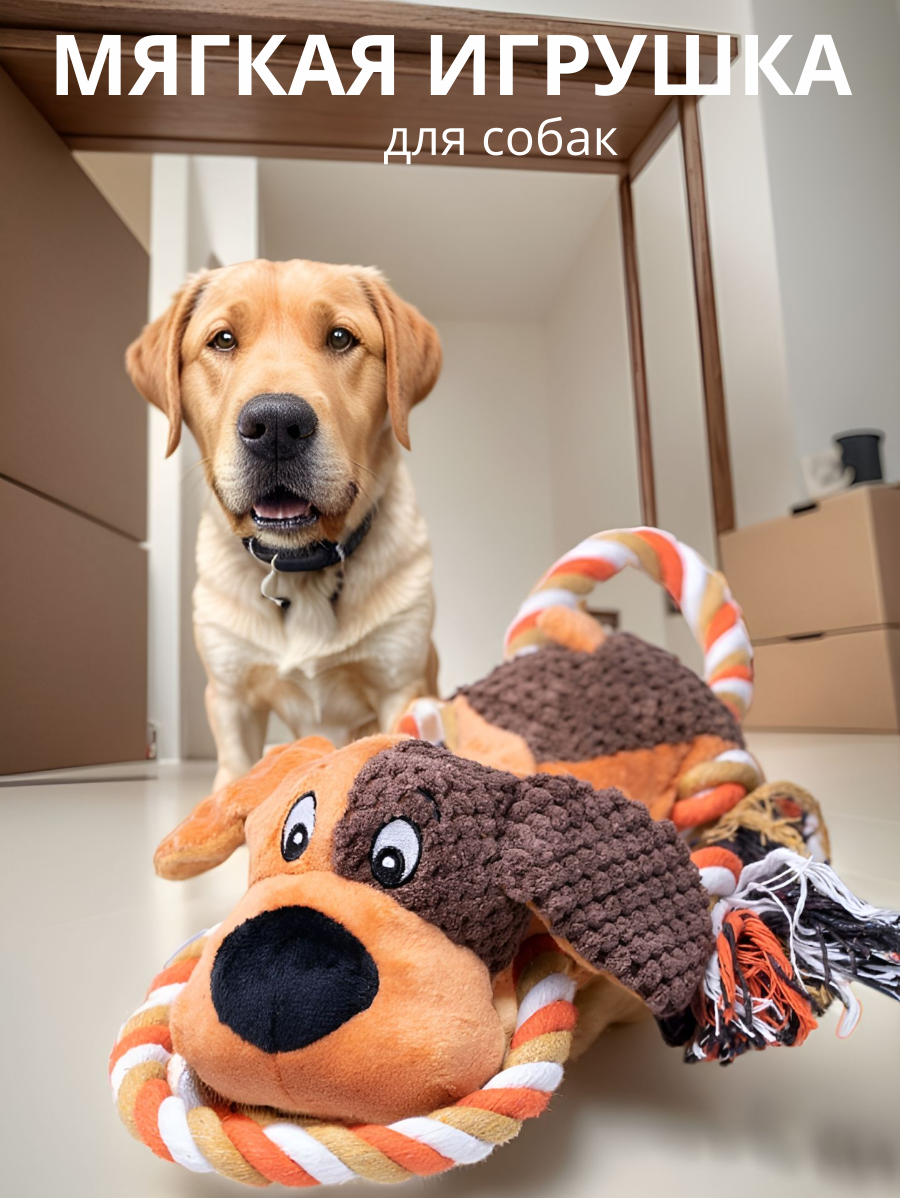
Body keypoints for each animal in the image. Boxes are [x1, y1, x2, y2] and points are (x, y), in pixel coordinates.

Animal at [127, 260, 442, 789]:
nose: (275, 425)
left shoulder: (400, 684)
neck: (300, 569)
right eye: (223, 340)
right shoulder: (230, 698)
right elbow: (234, 779)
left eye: (340, 337)